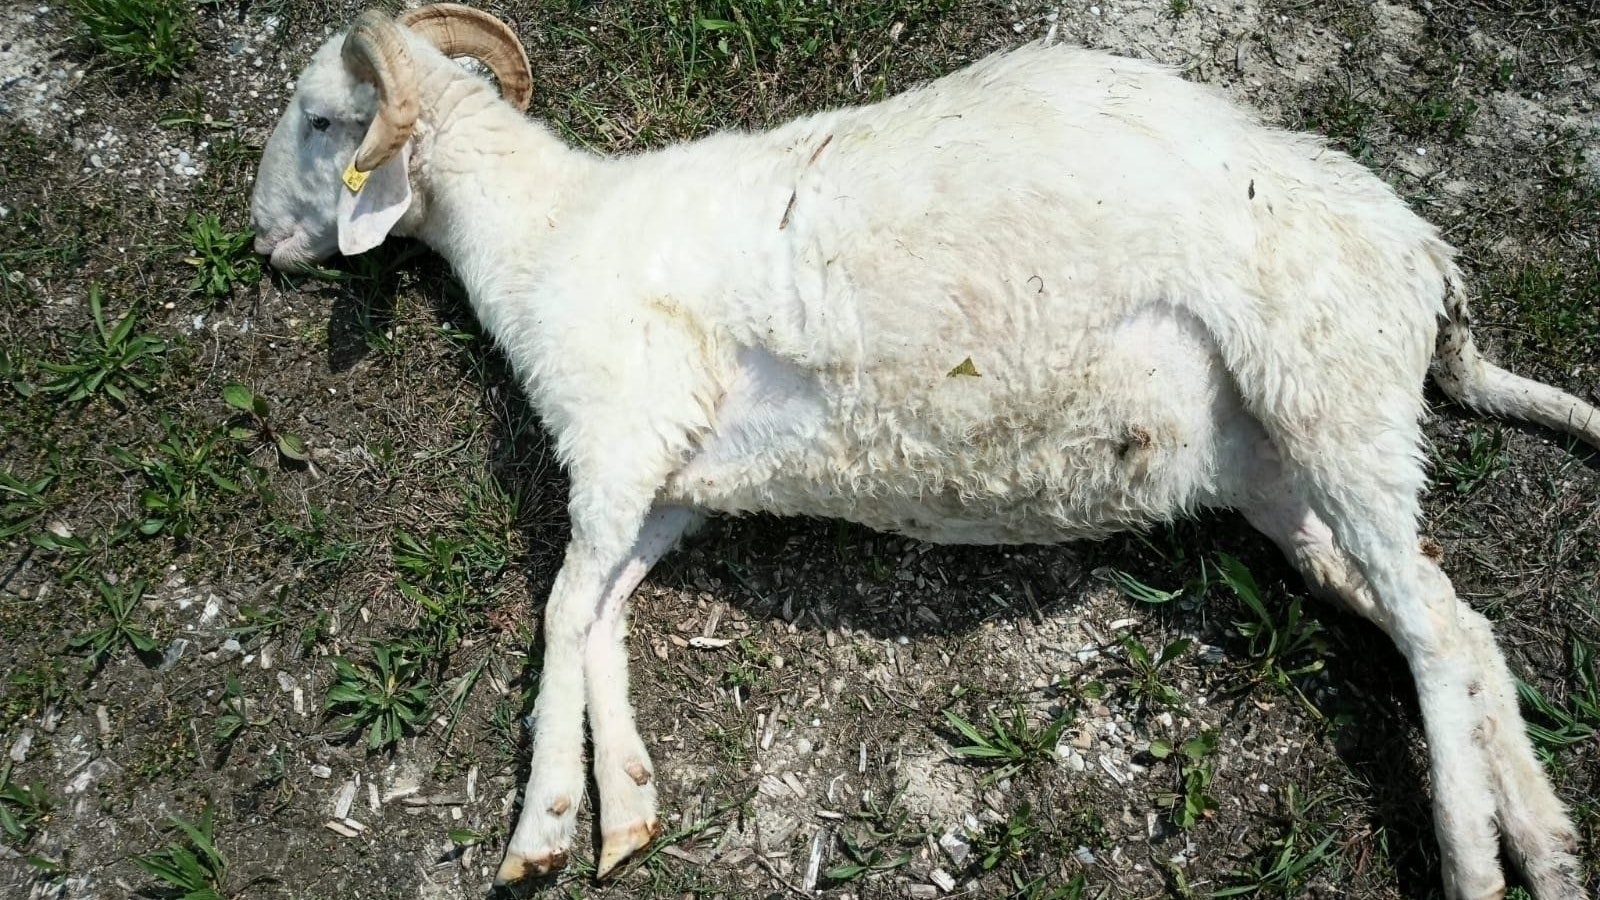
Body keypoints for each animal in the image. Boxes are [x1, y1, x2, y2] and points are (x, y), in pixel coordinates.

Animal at [248, 5, 1599, 897]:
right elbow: (604, 614)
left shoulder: (617, 439)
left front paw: (541, 825)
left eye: (322, 121)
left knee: (1431, 633)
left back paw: (1475, 860)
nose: (261, 241)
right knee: (1452, 616)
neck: (546, 234)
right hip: (1286, 472)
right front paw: (624, 810)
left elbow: (562, 610)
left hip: (1326, 389)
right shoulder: (668, 487)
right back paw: (1545, 844)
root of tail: (1425, 257)